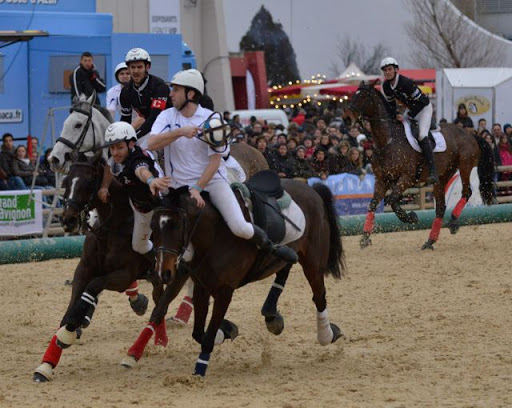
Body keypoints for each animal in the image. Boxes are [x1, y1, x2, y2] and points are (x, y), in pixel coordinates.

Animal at [33, 152, 165, 383]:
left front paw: (70, 329)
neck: (111, 228)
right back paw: (159, 338)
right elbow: (74, 301)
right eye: (66, 182)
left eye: (88, 183)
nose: (68, 220)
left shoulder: (123, 275)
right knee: (159, 298)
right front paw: (46, 364)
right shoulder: (83, 269)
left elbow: (93, 286)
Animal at [122, 176, 346, 377]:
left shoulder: (224, 291)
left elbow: (207, 333)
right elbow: (197, 331)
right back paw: (271, 314)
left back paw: (326, 334)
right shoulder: (202, 285)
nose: (163, 272)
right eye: (153, 226)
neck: (213, 237)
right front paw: (227, 331)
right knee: (285, 268)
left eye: (176, 226)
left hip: (313, 262)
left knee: (319, 296)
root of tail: (310, 187)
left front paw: (200, 369)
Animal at [349, 81, 495, 250]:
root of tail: (470, 134)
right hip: (442, 177)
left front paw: (411, 217)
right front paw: (365, 238)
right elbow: (373, 204)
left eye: (363, 95)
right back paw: (430, 241)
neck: (388, 141)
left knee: (467, 192)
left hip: (465, 166)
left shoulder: (406, 179)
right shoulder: (381, 180)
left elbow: (392, 201)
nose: (349, 113)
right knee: (440, 207)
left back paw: (453, 221)